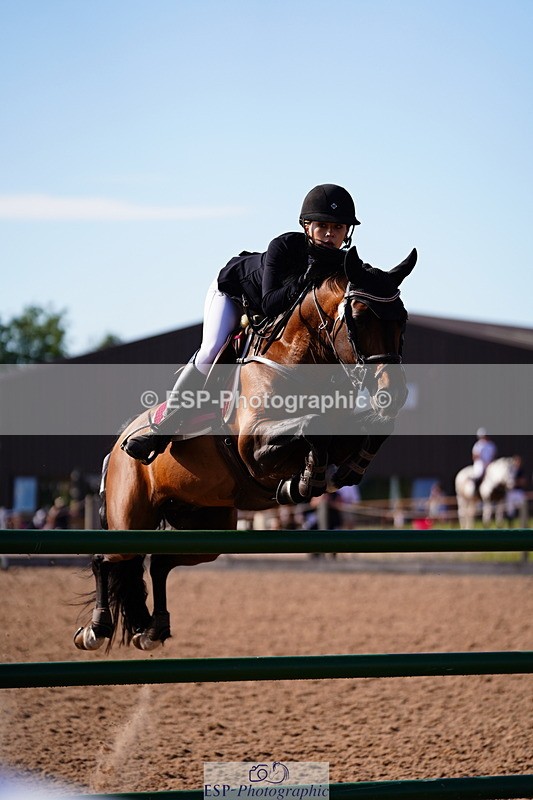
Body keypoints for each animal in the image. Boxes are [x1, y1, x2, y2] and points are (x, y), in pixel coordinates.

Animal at [74, 246, 417, 652]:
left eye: (403, 320)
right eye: (360, 318)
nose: (394, 393)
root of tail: (114, 447)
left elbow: (370, 430)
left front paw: (334, 473)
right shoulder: (253, 446)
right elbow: (311, 429)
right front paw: (303, 481)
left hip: (206, 524)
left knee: (157, 562)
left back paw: (153, 630)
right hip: (128, 514)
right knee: (107, 558)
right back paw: (95, 630)